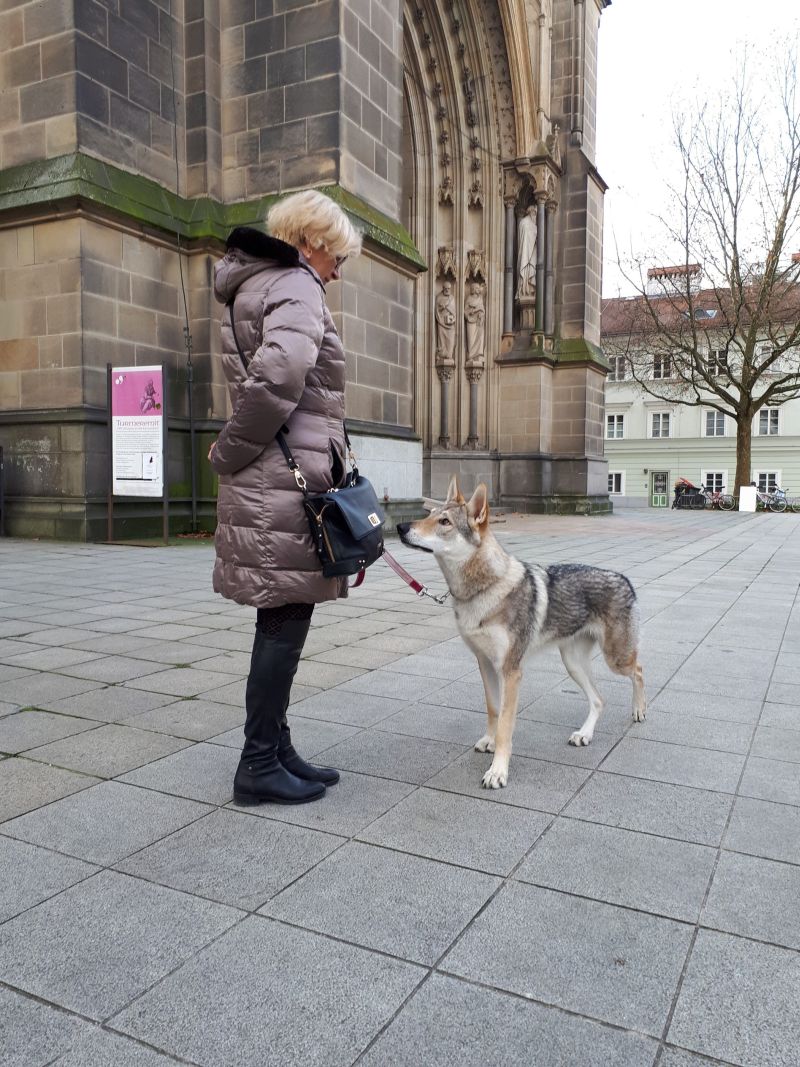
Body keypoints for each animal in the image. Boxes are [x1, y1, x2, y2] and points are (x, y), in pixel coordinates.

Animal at [398, 480, 648, 789]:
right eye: (430, 514)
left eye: (444, 522)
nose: (400, 527)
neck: (482, 590)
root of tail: (624, 578)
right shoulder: (485, 665)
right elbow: (493, 710)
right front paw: (489, 741)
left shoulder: (511, 672)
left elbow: (506, 724)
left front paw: (498, 771)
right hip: (573, 664)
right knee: (599, 699)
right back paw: (584, 735)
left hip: (616, 659)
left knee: (638, 670)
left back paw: (638, 711)